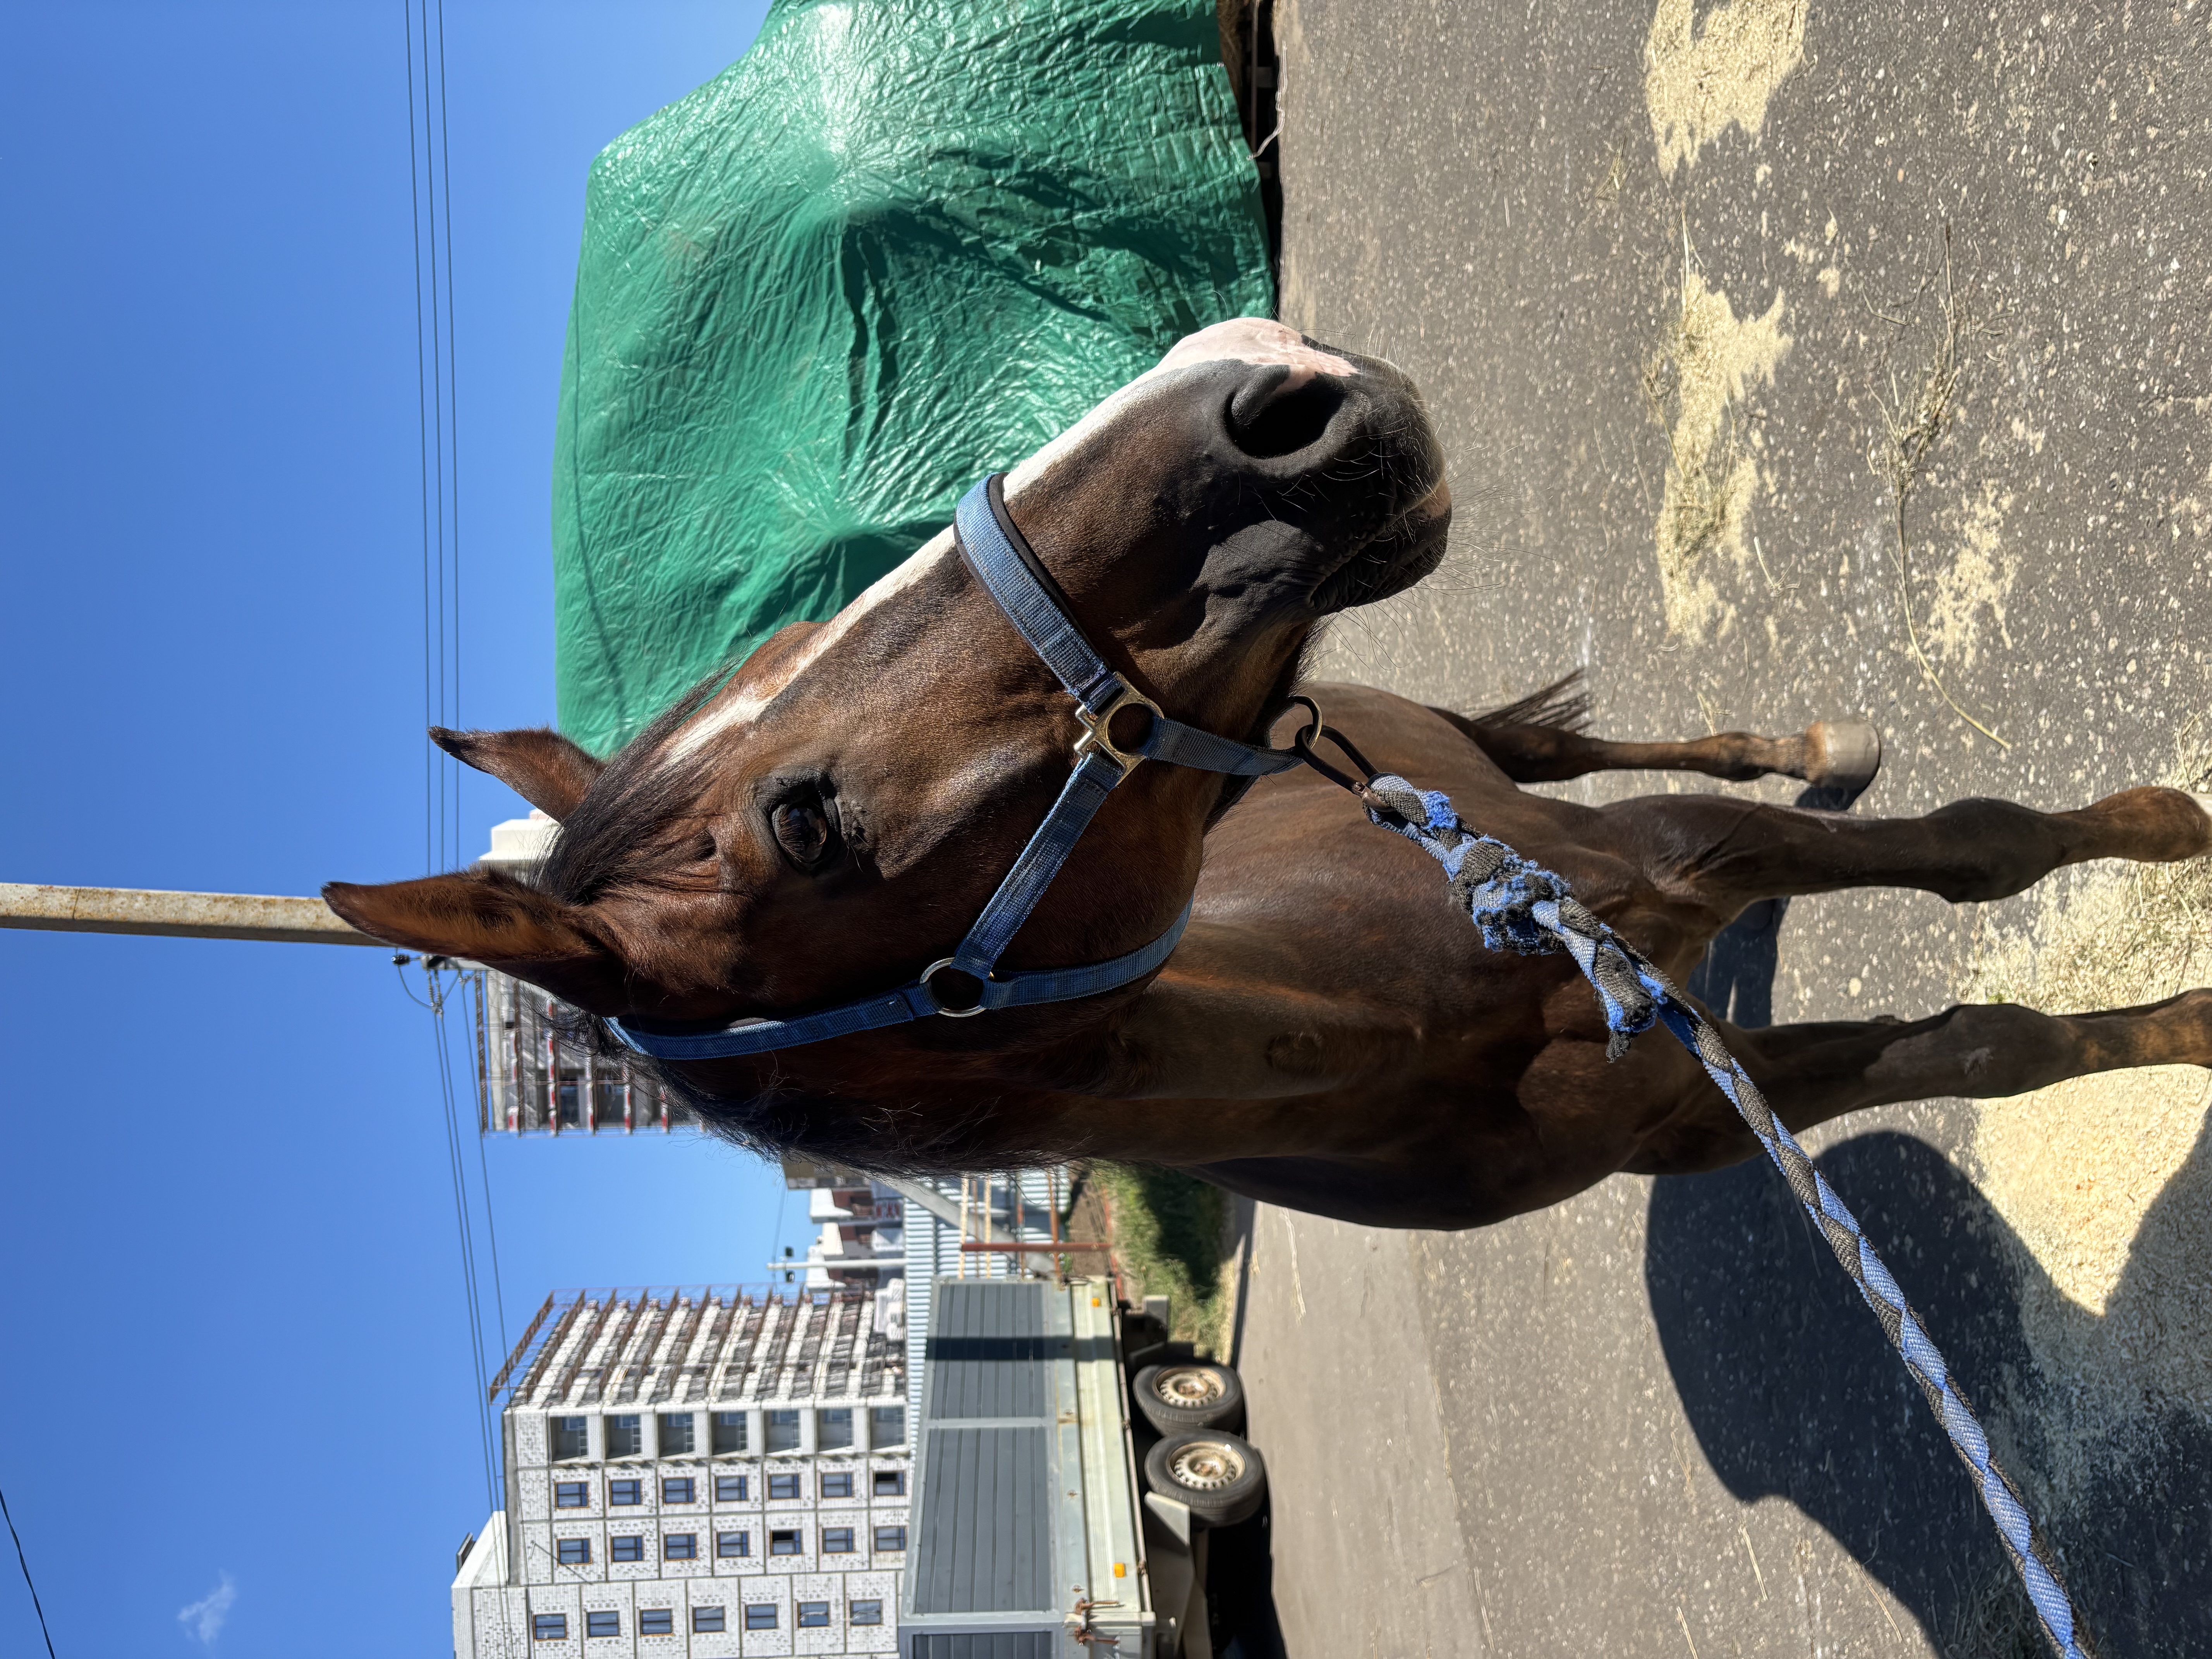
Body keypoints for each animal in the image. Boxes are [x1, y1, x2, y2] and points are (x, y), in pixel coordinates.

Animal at [325, 318, 2212, 1231]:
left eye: (788, 628)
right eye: (806, 819)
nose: (1259, 390)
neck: (1450, 1007)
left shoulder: (1690, 854)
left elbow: (1975, 852)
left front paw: (2163, 833)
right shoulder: (1699, 1102)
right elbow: (1987, 1046)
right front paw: (2183, 1021)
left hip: (1484, 750)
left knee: (1569, 743)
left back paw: (1814, 743)